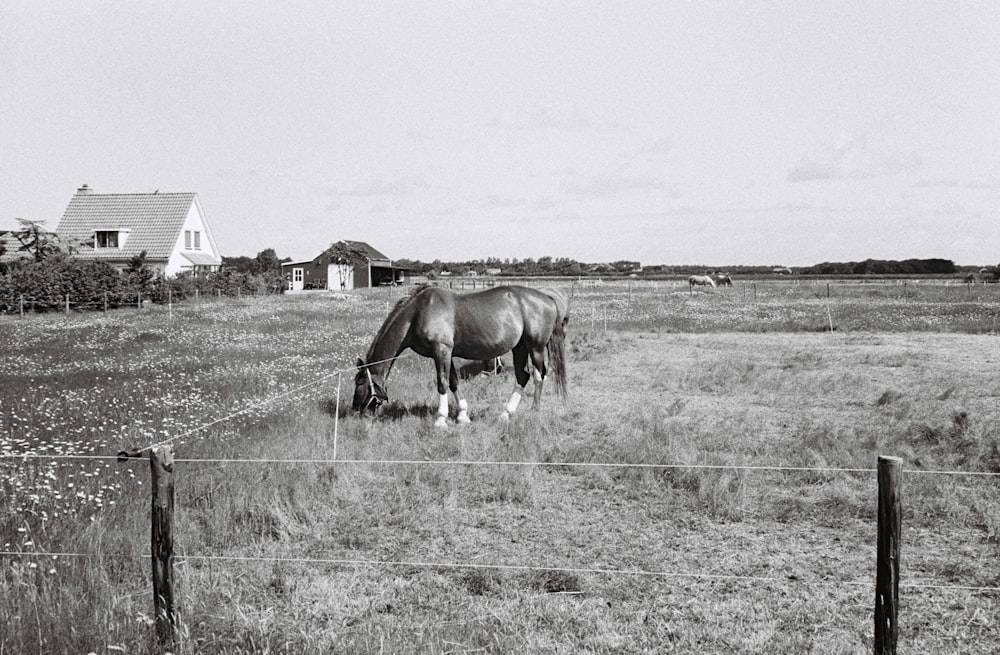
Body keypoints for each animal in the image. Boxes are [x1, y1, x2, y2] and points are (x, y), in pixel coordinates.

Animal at [352, 284, 572, 428]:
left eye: (360, 384)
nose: (356, 412)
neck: (417, 313)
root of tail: (547, 297)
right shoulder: (445, 354)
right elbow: (453, 382)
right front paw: (463, 416)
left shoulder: (441, 350)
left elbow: (442, 383)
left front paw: (441, 420)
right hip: (519, 347)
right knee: (522, 376)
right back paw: (505, 415)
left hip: (535, 347)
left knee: (538, 375)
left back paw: (534, 411)